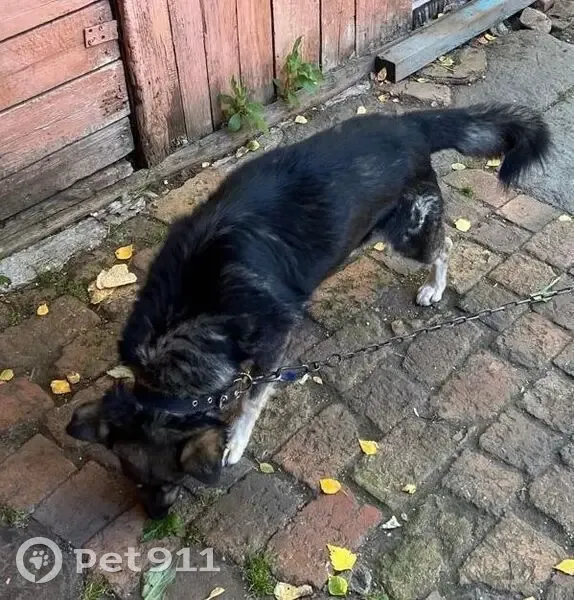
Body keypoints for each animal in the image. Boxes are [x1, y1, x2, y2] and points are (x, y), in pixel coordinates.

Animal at [67, 104, 549, 518]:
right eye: (133, 480)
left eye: (169, 482)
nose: (153, 519)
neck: (179, 326)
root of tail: (409, 125)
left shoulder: (272, 345)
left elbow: (250, 401)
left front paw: (235, 442)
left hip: (409, 234)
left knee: (445, 246)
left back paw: (435, 286)